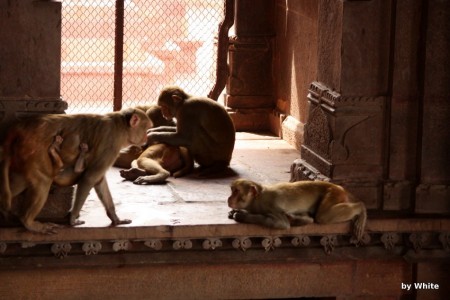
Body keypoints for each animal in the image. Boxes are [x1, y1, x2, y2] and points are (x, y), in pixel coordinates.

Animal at [0, 108, 152, 234]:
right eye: (145, 128)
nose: (146, 137)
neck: (120, 126)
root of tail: (22, 127)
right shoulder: (112, 142)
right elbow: (90, 177)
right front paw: (72, 218)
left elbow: (99, 180)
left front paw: (115, 218)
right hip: (34, 151)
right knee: (43, 180)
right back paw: (27, 221)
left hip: (23, 154)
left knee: (20, 182)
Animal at [227, 179, 368, 243]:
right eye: (232, 190)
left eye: (236, 191)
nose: (229, 198)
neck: (258, 198)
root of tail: (340, 187)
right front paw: (234, 212)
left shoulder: (271, 205)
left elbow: (281, 224)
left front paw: (242, 216)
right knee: (313, 217)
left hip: (334, 193)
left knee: (323, 216)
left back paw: (361, 208)